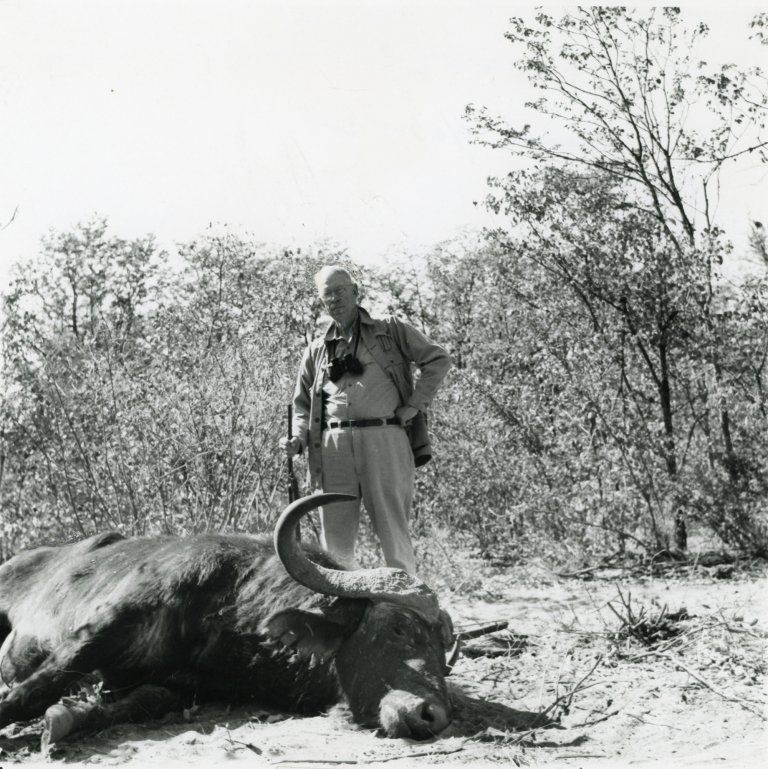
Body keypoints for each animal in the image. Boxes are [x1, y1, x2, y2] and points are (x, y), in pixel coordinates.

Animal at [0, 493, 453, 747]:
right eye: (399, 628)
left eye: (442, 649)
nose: (433, 715)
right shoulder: (104, 627)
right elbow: (34, 691)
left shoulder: (189, 688)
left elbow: (144, 701)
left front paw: (67, 718)